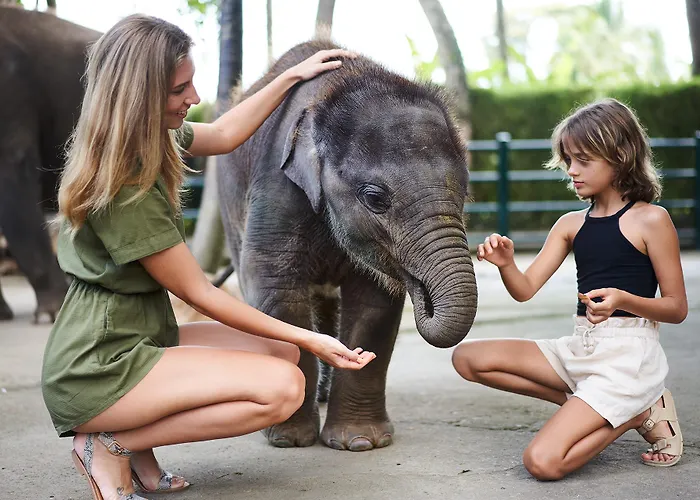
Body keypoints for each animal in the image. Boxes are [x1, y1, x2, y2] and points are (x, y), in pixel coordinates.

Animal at [218, 40, 478, 452]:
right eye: (374, 198)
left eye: (465, 194)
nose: (421, 288)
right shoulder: (277, 185)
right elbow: (275, 287)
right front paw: (290, 440)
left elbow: (374, 303)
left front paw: (360, 442)